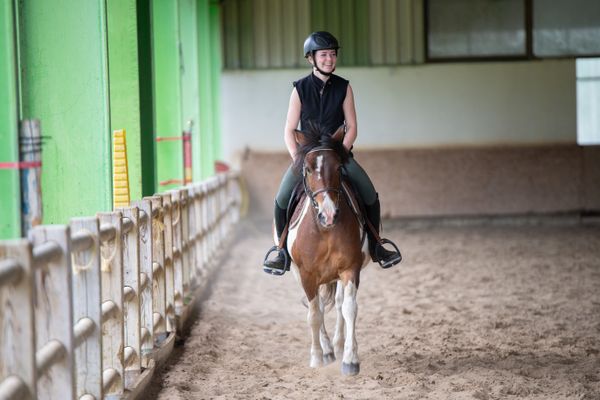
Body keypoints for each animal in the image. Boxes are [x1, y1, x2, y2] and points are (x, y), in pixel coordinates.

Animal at [282, 124, 368, 376]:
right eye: (308, 169)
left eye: (339, 167)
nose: (328, 214)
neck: (325, 229)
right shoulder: (307, 274)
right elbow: (313, 314)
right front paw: (318, 357)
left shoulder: (350, 268)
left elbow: (349, 308)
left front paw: (350, 360)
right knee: (319, 308)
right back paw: (328, 349)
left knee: (338, 304)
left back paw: (339, 346)